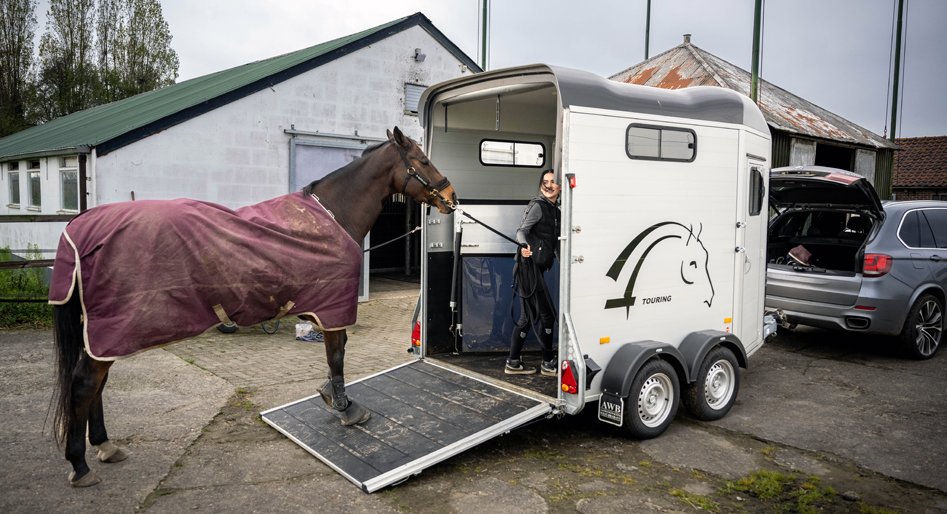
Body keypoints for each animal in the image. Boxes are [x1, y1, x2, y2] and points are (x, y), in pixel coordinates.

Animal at [50, 126, 458, 486]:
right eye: (423, 160)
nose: (451, 196)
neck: (333, 216)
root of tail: (82, 225)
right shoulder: (333, 310)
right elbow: (337, 356)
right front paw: (345, 408)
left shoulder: (326, 311)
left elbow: (335, 356)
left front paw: (330, 396)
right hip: (110, 332)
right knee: (85, 385)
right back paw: (80, 465)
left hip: (100, 336)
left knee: (96, 386)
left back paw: (104, 446)